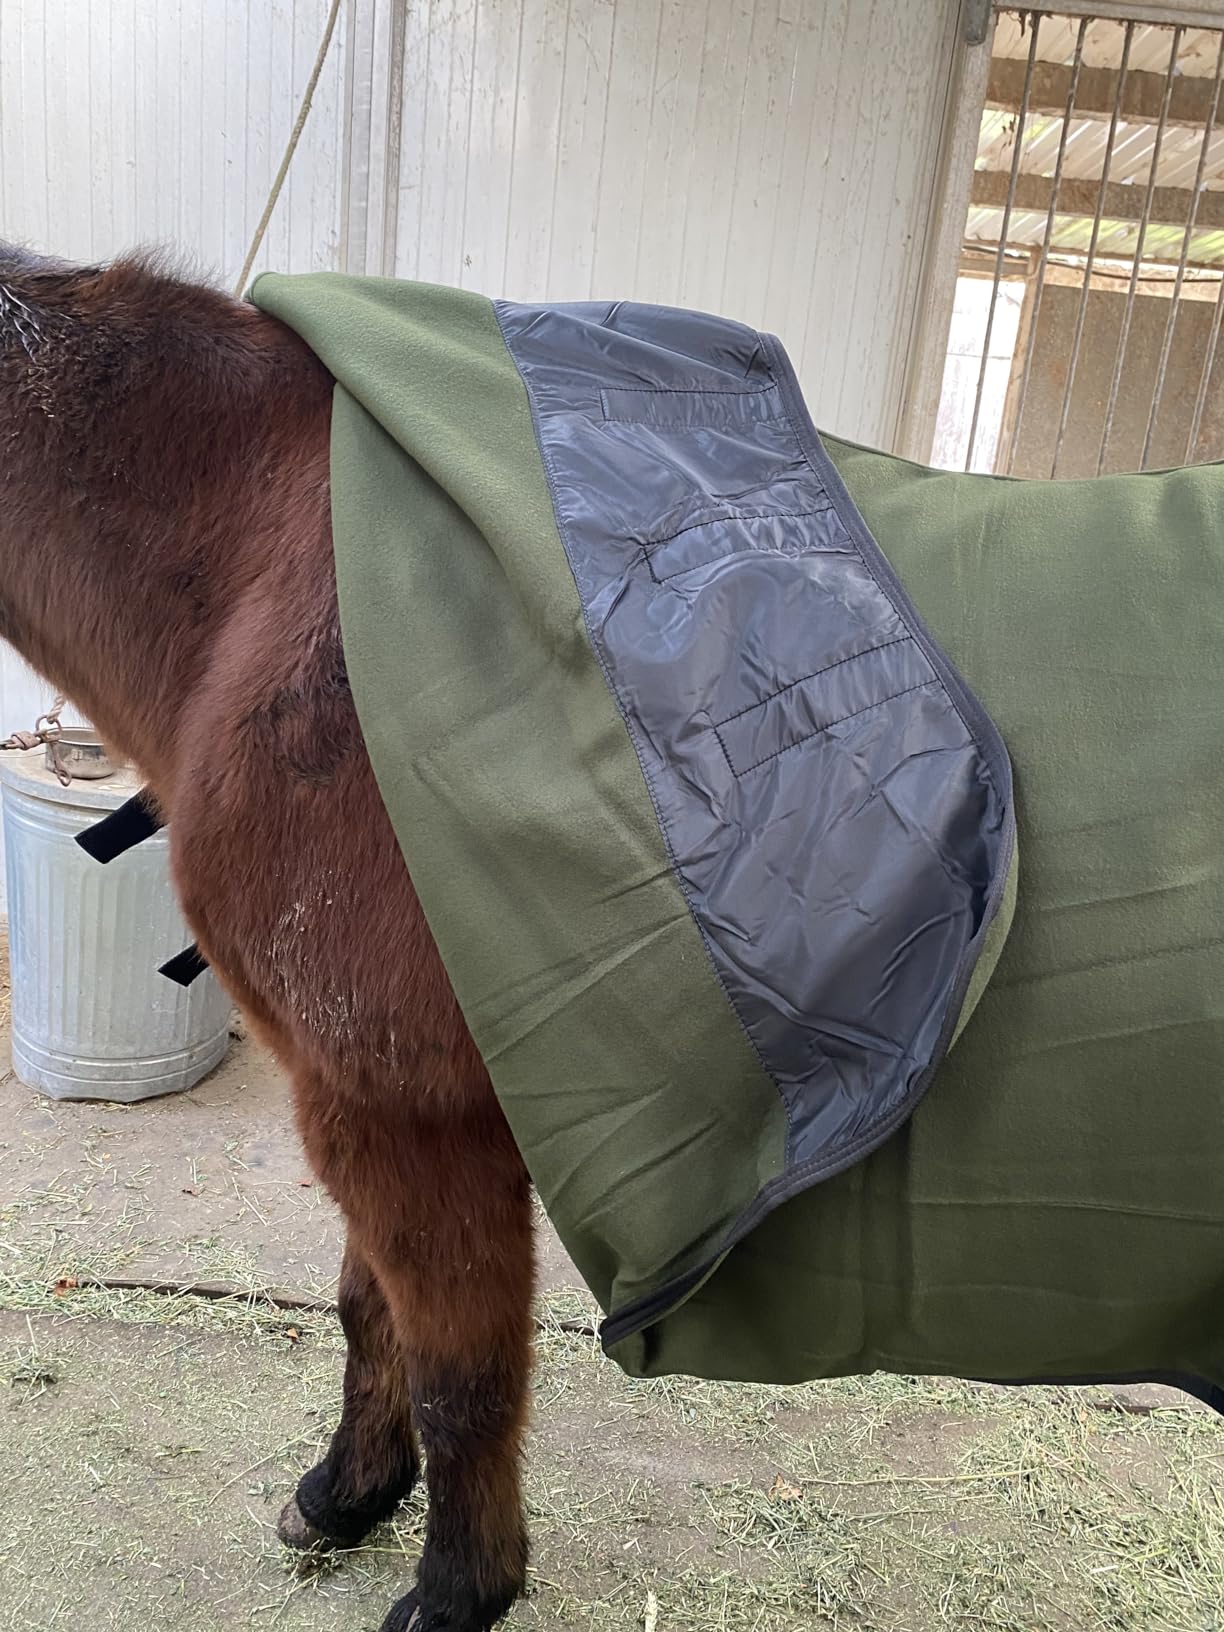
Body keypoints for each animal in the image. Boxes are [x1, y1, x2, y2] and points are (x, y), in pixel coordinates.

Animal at [0, 244, 531, 1632]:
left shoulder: (408, 1105)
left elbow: (463, 1370)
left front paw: (460, 1589)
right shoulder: (358, 1094)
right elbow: (366, 1308)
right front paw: (350, 1492)